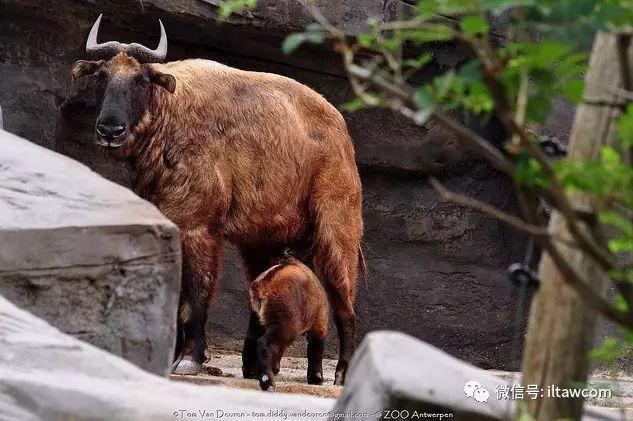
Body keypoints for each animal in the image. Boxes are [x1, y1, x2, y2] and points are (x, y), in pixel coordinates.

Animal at [248, 251, 328, 388]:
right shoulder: (319, 325)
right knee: (263, 342)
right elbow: (316, 350)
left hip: (257, 320)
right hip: (286, 326)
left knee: (252, 339)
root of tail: (263, 284)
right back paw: (267, 382)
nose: (276, 368)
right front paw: (316, 378)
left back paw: (252, 373)